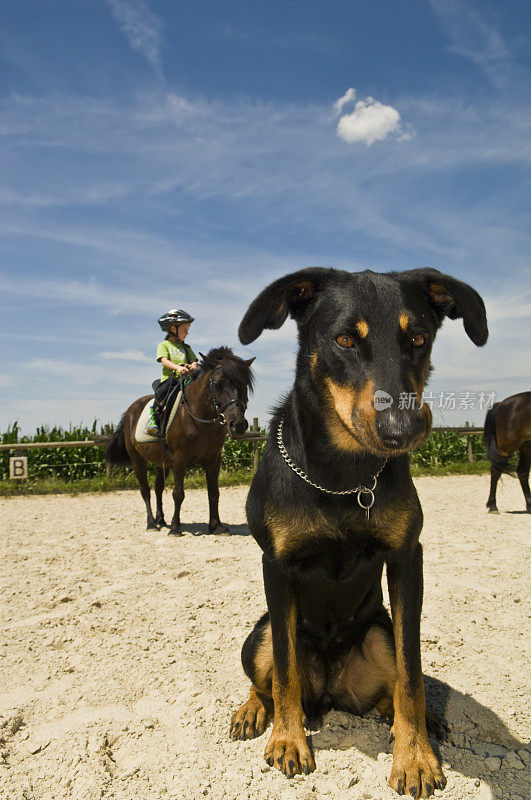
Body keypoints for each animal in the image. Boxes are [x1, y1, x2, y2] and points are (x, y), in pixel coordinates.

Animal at [107, 346, 255, 536]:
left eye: (244, 385)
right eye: (217, 384)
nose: (238, 425)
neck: (198, 417)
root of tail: (130, 411)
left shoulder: (214, 459)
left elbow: (214, 493)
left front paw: (216, 526)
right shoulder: (180, 459)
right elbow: (178, 493)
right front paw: (175, 528)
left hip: (162, 462)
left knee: (158, 488)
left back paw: (161, 520)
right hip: (137, 459)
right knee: (145, 490)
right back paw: (151, 523)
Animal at [231, 268, 488, 800]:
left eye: (419, 339)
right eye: (345, 340)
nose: (403, 428)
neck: (342, 477)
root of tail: (329, 692)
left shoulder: (407, 557)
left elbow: (411, 674)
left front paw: (414, 756)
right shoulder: (277, 565)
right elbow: (284, 669)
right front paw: (288, 741)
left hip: (378, 635)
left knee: (392, 691)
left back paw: (424, 721)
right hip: (257, 634)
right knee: (267, 677)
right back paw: (253, 710)